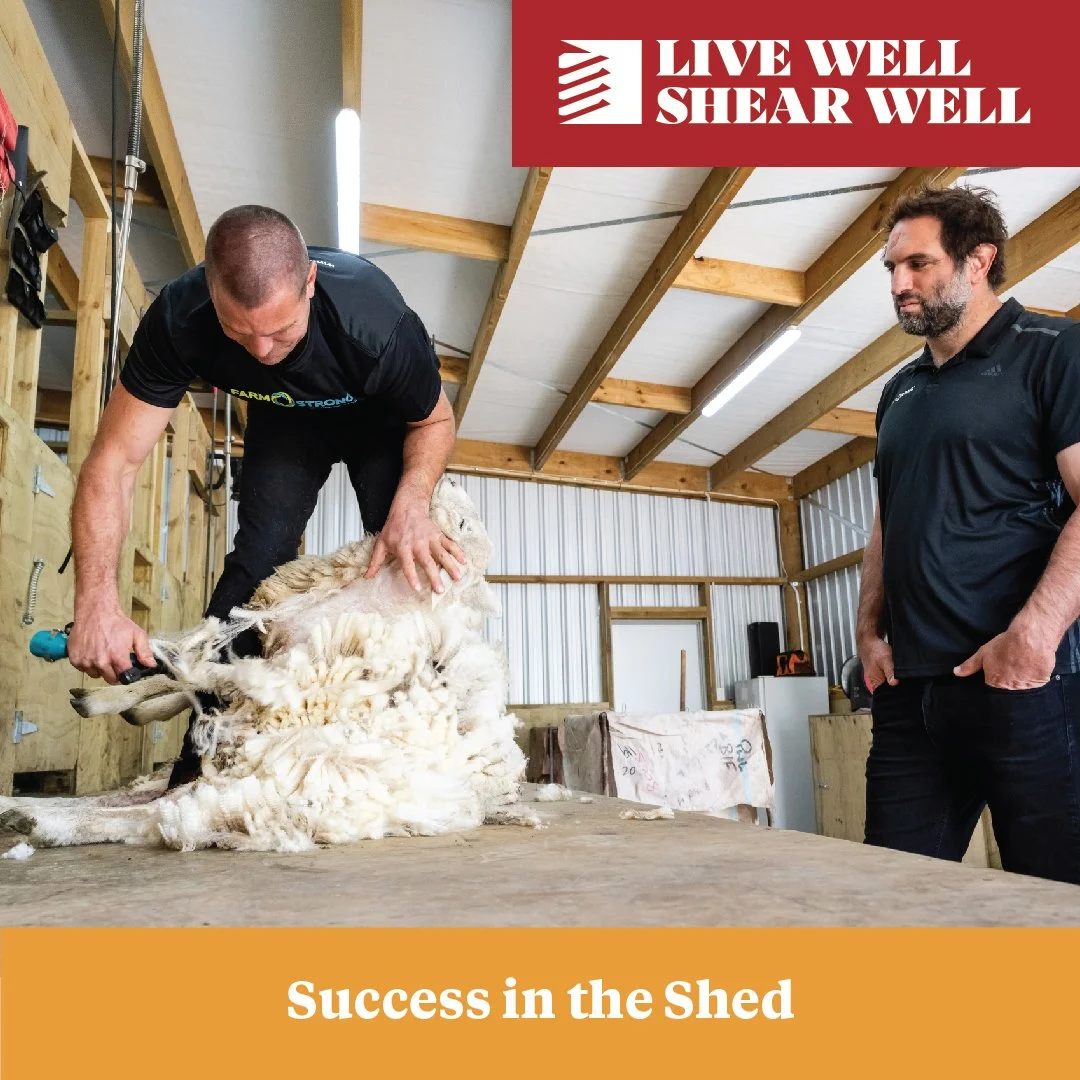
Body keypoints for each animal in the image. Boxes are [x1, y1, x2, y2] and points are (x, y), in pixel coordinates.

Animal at [0, 476, 537, 851]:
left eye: (464, 526)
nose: (450, 479)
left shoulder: (284, 678)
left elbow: (196, 668)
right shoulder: (272, 650)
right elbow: (188, 666)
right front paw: (124, 673)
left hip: (266, 785)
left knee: (147, 813)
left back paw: (38, 817)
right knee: (139, 791)